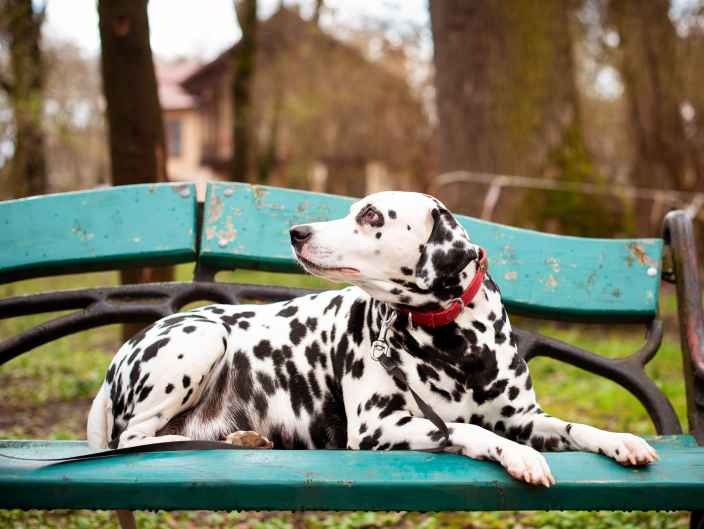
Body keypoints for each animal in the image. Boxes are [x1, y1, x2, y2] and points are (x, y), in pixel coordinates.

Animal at [86, 191, 656, 486]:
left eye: (371, 215)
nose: (296, 232)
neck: (453, 341)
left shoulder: (525, 418)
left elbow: (574, 426)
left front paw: (621, 440)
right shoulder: (382, 428)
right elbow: (465, 429)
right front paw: (517, 456)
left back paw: (241, 439)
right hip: (203, 337)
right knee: (132, 440)